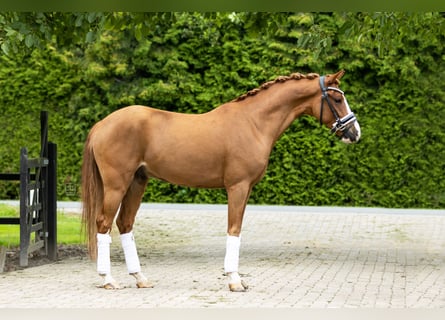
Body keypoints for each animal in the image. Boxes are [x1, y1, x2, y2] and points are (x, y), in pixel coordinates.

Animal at [81, 70, 360, 292]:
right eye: (337, 99)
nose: (355, 133)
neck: (253, 122)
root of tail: (102, 124)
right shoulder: (238, 187)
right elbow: (234, 230)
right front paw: (234, 280)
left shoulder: (246, 189)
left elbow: (238, 229)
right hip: (117, 185)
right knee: (104, 223)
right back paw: (108, 279)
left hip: (137, 182)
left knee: (124, 224)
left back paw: (140, 278)